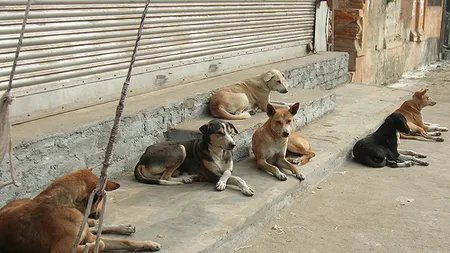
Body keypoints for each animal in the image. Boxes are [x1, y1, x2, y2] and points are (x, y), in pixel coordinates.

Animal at [0, 169, 162, 252]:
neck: (66, 204)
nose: (98, 214)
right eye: (101, 199)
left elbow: (123, 242)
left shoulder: (88, 235)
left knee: (94, 226)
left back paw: (123, 227)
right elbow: (100, 243)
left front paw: (147, 244)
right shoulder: (62, 250)